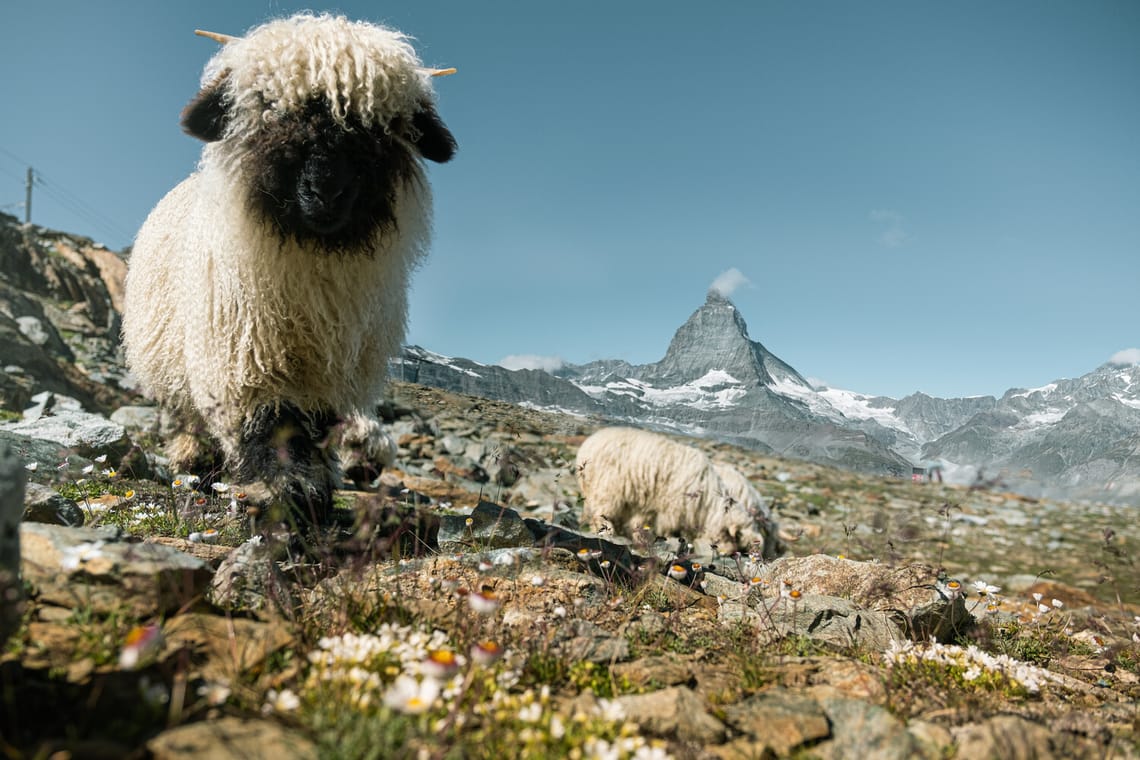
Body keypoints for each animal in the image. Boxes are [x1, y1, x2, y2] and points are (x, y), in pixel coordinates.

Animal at [121, 14, 456, 524]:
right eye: (270, 109)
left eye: (382, 127)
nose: (327, 190)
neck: (309, 264)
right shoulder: (246, 357)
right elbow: (272, 425)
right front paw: (282, 492)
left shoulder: (328, 368)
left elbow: (312, 427)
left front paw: (314, 493)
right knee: (191, 419)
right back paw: (196, 468)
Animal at [574, 427, 781, 558]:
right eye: (733, 535)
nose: (729, 552)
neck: (708, 502)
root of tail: (588, 444)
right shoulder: (670, 508)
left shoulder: (647, 505)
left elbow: (639, 524)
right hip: (607, 488)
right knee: (602, 514)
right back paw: (607, 533)